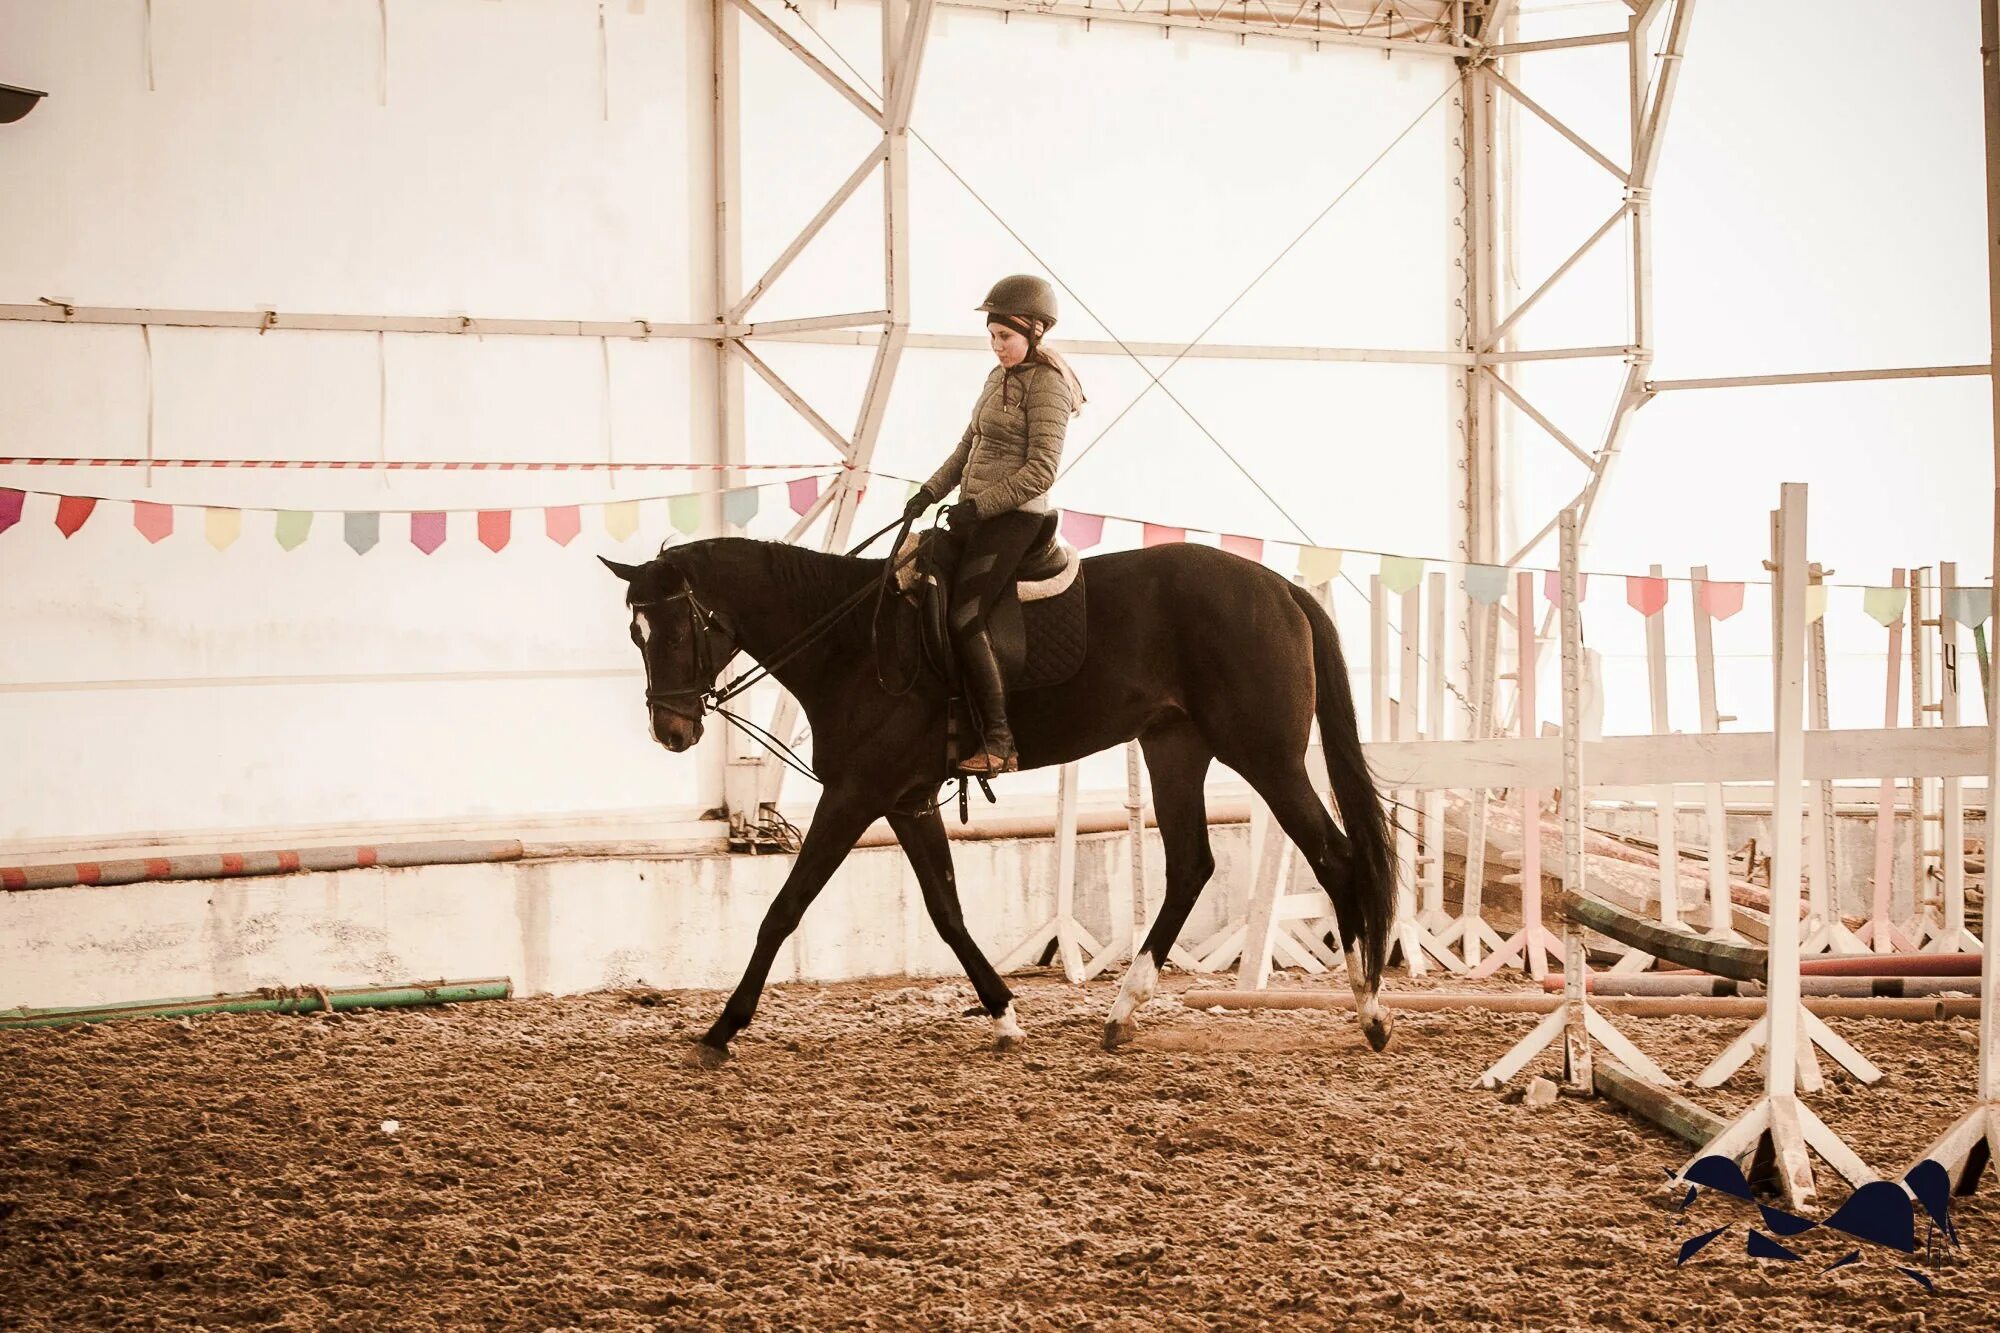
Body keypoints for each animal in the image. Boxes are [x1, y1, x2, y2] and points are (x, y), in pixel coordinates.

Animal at [600, 536, 1400, 1064]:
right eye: (635, 633)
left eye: (677, 626)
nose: (671, 730)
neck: (853, 644)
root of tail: (1281, 589)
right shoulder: (907, 800)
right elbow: (946, 911)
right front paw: (1005, 1014)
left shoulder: (856, 795)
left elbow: (783, 909)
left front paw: (721, 1030)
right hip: (1175, 746)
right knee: (1191, 866)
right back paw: (1123, 1011)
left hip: (1264, 755)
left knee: (1335, 857)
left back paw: (1369, 1010)